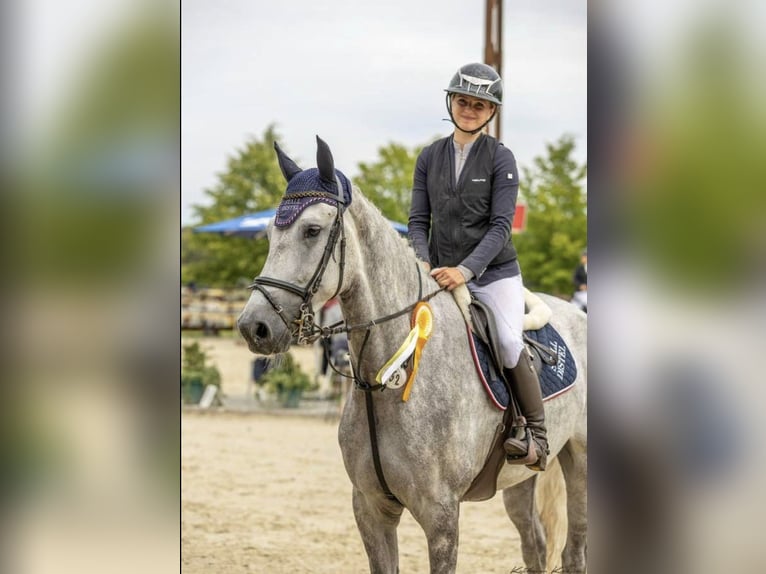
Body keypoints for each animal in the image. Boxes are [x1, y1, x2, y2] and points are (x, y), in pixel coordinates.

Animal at [237, 137, 587, 573]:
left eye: (312, 230)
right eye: (269, 234)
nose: (254, 327)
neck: (389, 378)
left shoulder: (441, 517)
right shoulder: (370, 509)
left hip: (580, 462)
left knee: (574, 551)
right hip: (520, 480)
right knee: (534, 543)